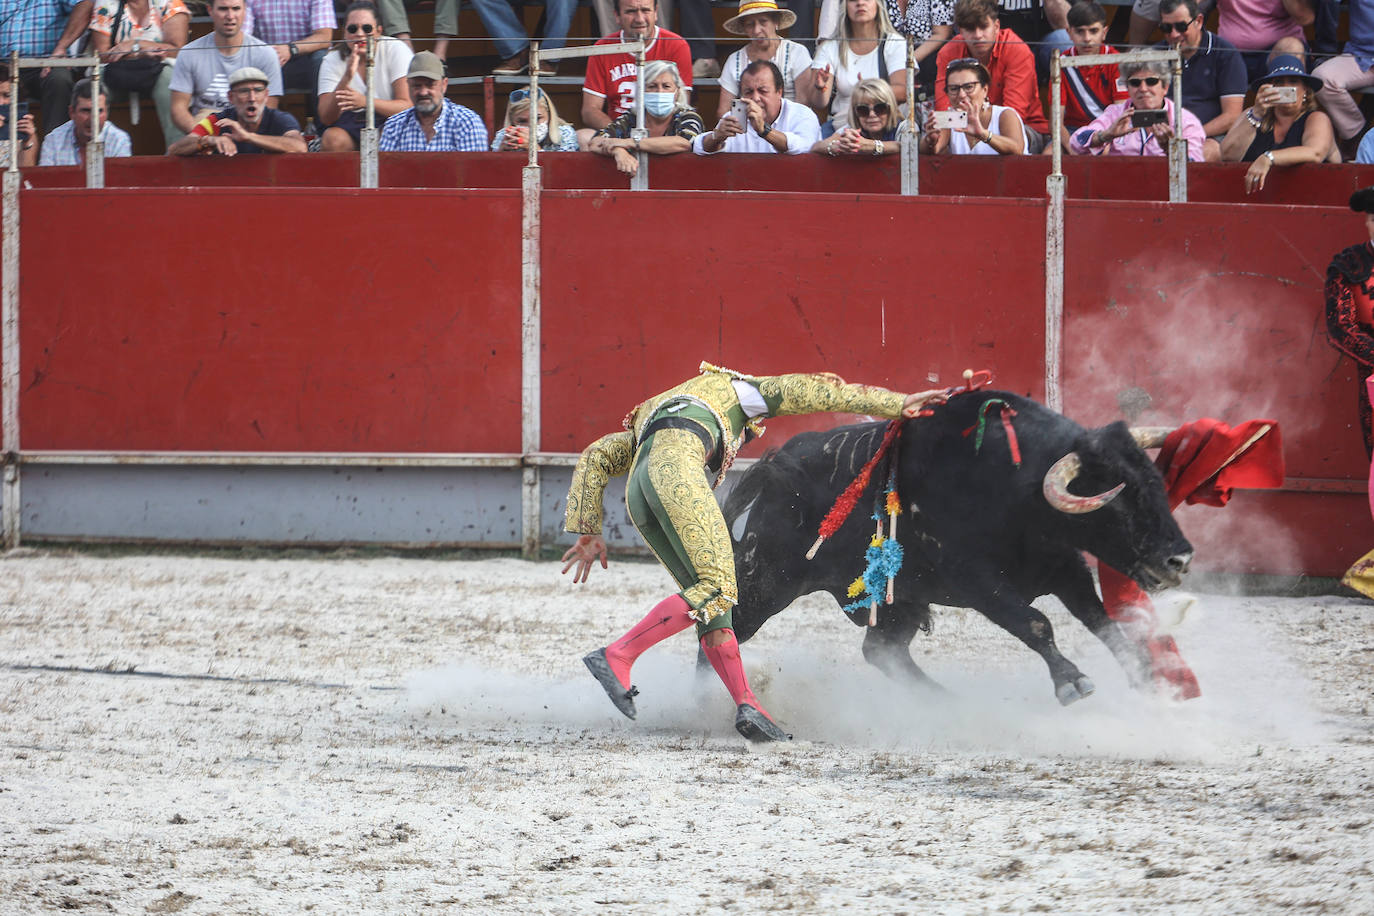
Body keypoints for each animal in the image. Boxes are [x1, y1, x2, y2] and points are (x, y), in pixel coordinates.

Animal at [719, 390, 1192, 708]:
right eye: (1118, 501)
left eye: (1157, 485)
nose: (1180, 559)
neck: (1012, 487)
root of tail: (772, 467)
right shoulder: (979, 582)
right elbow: (1036, 624)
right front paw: (1072, 682)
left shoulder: (1065, 567)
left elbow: (1101, 620)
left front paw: (1147, 679)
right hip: (766, 584)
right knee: (730, 632)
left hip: (898, 602)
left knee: (883, 651)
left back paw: (945, 701)